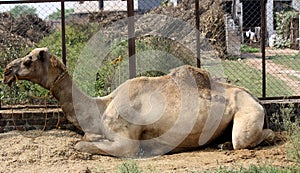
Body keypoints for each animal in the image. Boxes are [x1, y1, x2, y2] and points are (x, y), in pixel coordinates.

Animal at [2, 48, 276, 157]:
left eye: (28, 61)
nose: (6, 70)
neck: (101, 106)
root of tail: (256, 99)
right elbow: (86, 139)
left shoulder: (126, 143)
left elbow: (80, 145)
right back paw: (221, 144)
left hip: (248, 113)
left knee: (249, 138)